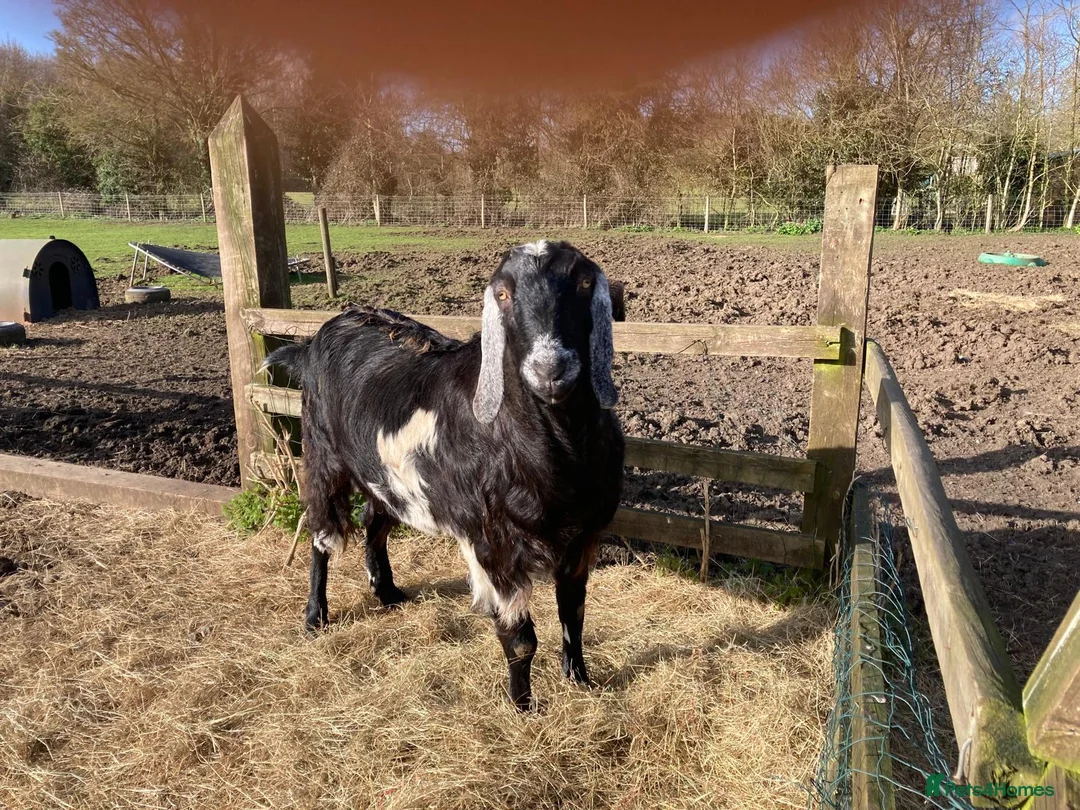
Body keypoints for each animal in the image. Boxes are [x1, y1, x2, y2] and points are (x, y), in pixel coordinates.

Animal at [264, 240, 625, 709]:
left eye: (582, 282)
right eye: (503, 294)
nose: (550, 370)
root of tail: (313, 341)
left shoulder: (583, 536)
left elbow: (574, 612)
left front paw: (580, 680)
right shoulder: (494, 543)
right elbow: (520, 638)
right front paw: (523, 707)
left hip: (387, 476)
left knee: (373, 521)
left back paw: (387, 592)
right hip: (323, 454)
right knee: (322, 533)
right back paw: (314, 616)